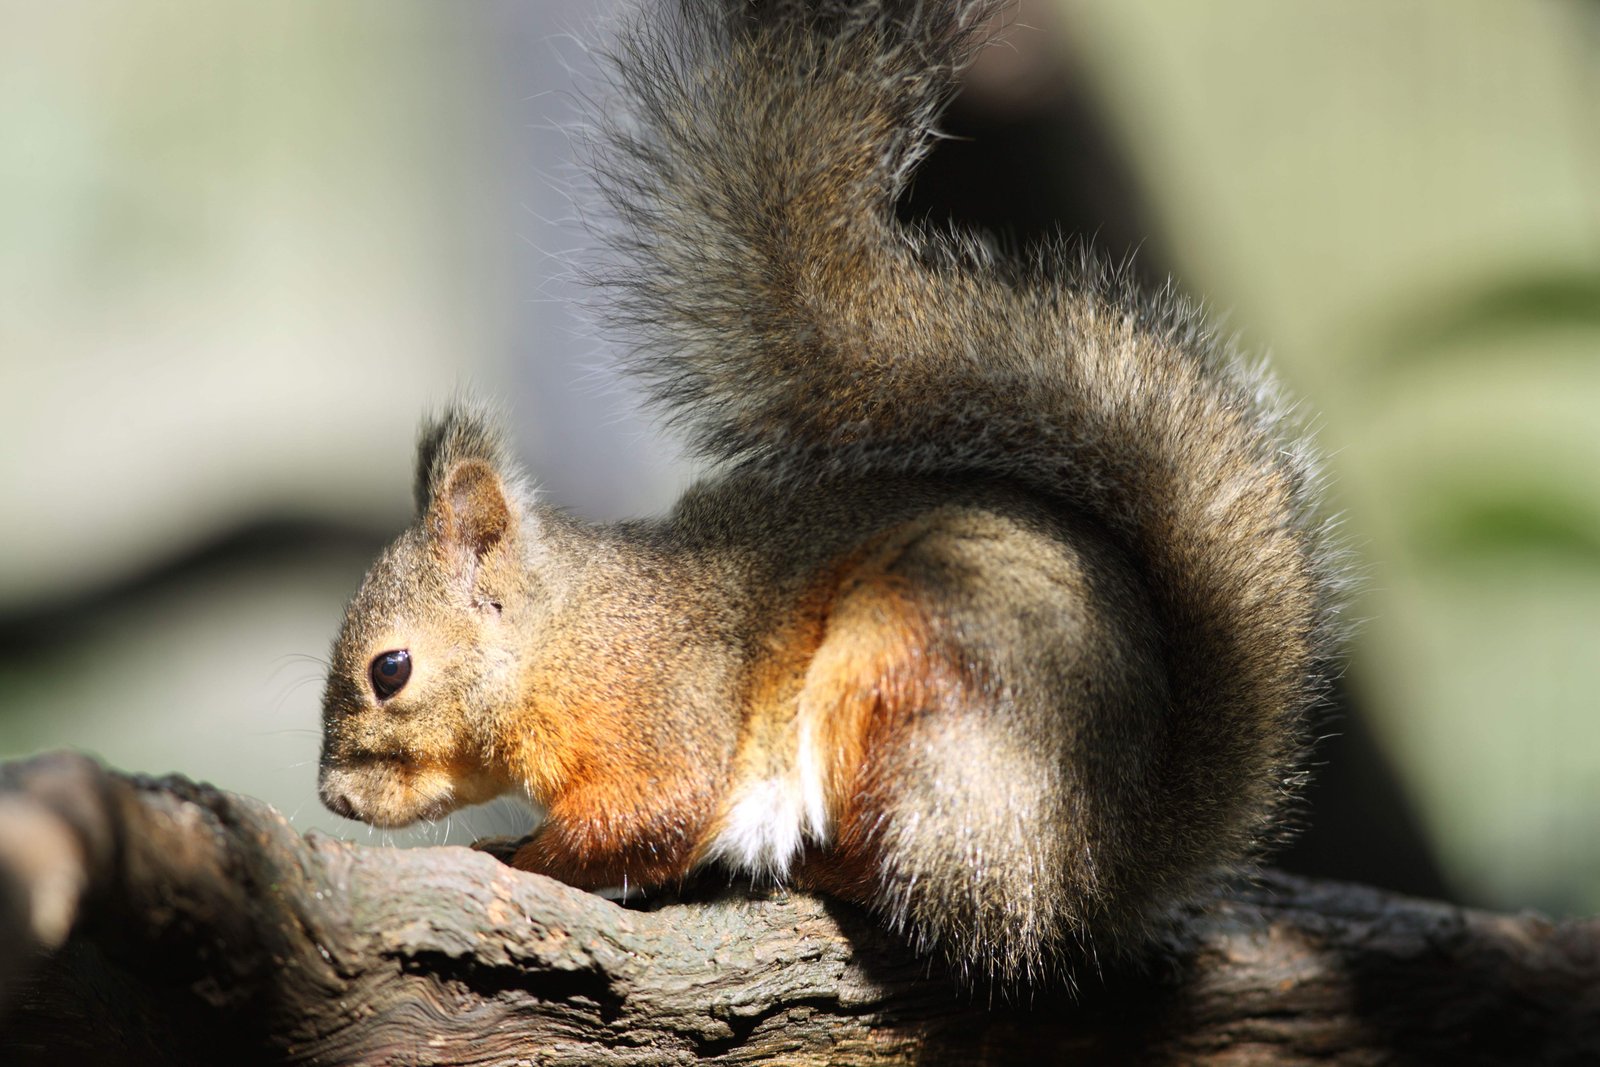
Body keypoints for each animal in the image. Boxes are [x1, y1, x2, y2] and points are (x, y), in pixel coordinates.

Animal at [317, 0, 1345, 986]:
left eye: (390, 669)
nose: (332, 797)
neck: (562, 637)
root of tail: (1109, 865)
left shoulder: (656, 704)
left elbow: (650, 812)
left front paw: (517, 855)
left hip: (913, 670)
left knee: (918, 881)